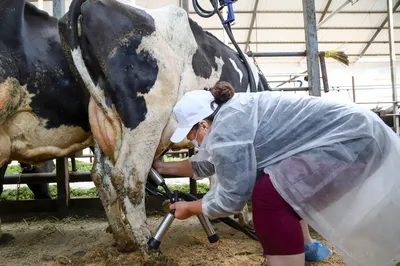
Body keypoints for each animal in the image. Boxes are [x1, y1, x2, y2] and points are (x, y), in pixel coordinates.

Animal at [61, 0, 268, 252]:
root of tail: (91, 3)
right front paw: (239, 216)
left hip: (102, 119)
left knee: (102, 175)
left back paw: (124, 239)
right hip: (148, 116)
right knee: (129, 177)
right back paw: (148, 245)